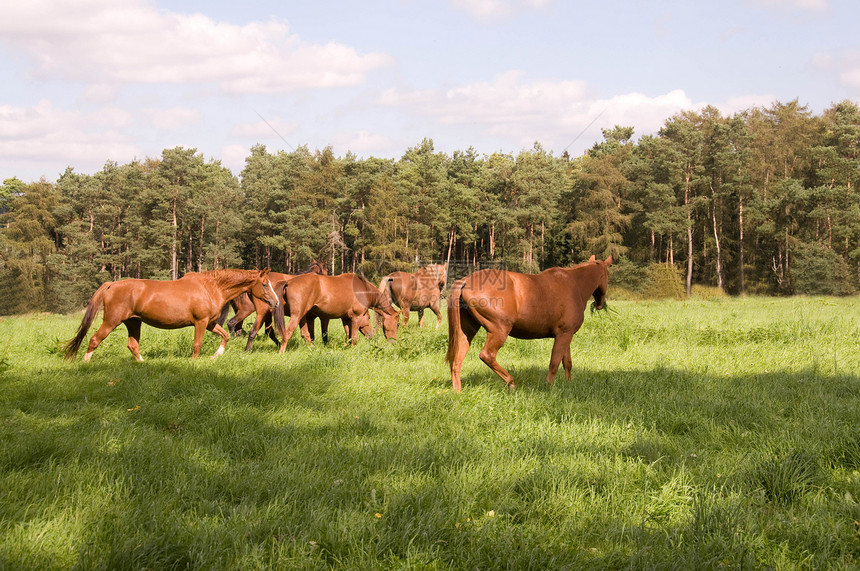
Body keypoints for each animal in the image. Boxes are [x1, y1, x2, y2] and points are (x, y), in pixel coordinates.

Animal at [63, 270, 278, 362]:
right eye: (264, 284)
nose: (276, 303)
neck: (211, 287)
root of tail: (112, 284)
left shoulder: (210, 323)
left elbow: (225, 336)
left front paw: (216, 355)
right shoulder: (200, 323)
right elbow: (197, 345)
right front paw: (194, 363)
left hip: (133, 323)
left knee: (132, 345)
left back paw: (142, 363)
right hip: (111, 321)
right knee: (94, 339)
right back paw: (85, 363)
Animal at [272, 272, 400, 348]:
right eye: (397, 324)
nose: (394, 342)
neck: (363, 290)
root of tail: (288, 282)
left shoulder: (346, 318)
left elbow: (348, 336)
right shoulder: (356, 317)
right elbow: (353, 337)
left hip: (302, 316)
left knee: (305, 334)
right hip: (297, 316)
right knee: (287, 333)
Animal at [444, 256, 612, 394]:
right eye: (608, 275)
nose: (600, 304)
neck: (574, 285)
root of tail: (466, 280)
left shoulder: (566, 335)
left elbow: (567, 363)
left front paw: (568, 384)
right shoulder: (563, 335)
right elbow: (554, 363)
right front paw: (548, 387)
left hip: (466, 331)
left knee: (457, 360)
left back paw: (458, 391)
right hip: (499, 330)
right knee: (487, 356)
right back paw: (510, 382)